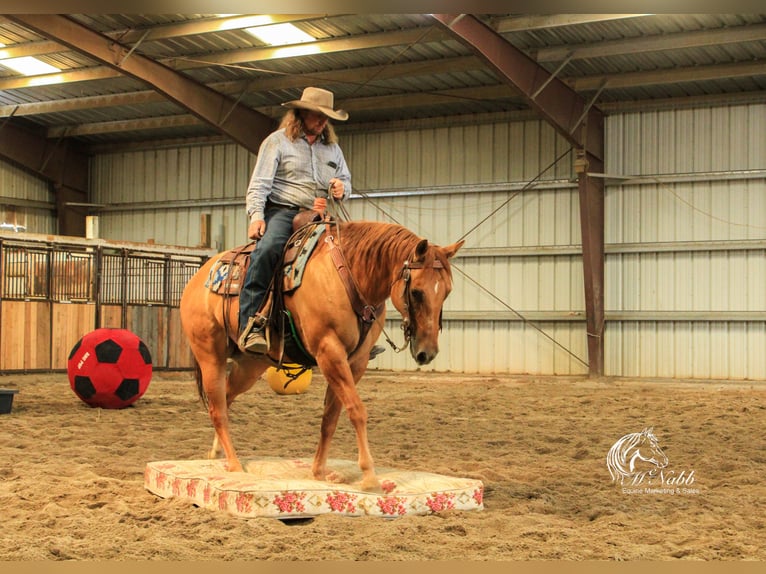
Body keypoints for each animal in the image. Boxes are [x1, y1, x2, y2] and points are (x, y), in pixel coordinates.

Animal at [182, 218, 462, 492]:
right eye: (416, 292)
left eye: (447, 291)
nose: (427, 352)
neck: (349, 275)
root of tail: (198, 278)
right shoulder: (330, 352)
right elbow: (356, 410)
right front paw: (369, 476)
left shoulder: (355, 362)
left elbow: (331, 417)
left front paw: (319, 471)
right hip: (210, 356)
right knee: (217, 409)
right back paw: (234, 464)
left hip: (251, 364)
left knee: (227, 397)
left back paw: (217, 454)